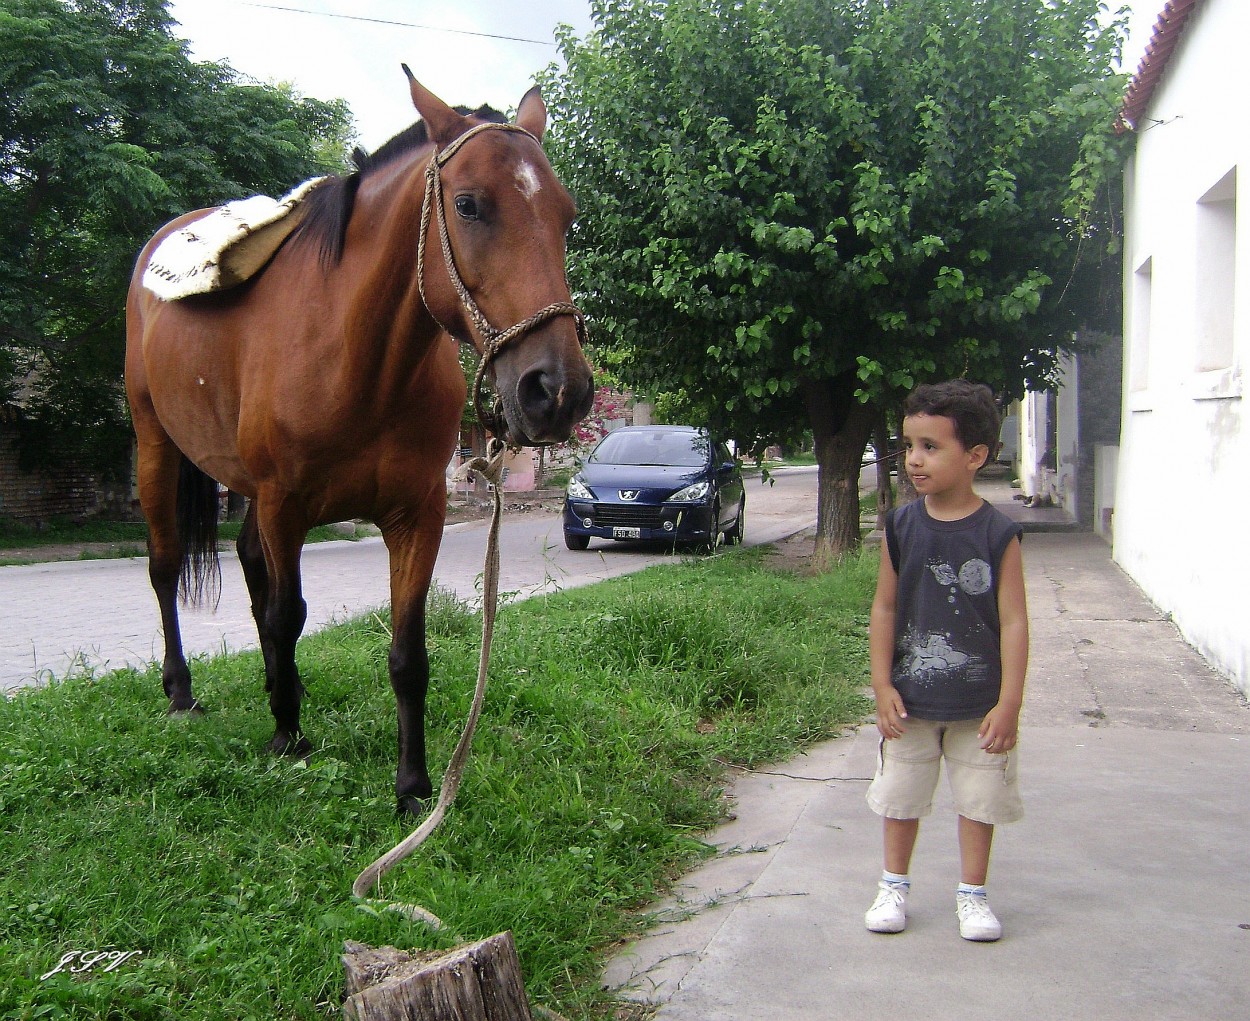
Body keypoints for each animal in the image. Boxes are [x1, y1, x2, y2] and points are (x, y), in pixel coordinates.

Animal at [124, 69, 592, 814]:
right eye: (469, 204)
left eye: (565, 215)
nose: (557, 390)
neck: (357, 359)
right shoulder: (285, 504)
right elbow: (287, 613)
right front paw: (288, 737)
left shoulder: (415, 515)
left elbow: (407, 652)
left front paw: (414, 786)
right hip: (157, 448)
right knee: (167, 567)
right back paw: (183, 692)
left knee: (248, 562)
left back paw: (277, 684)